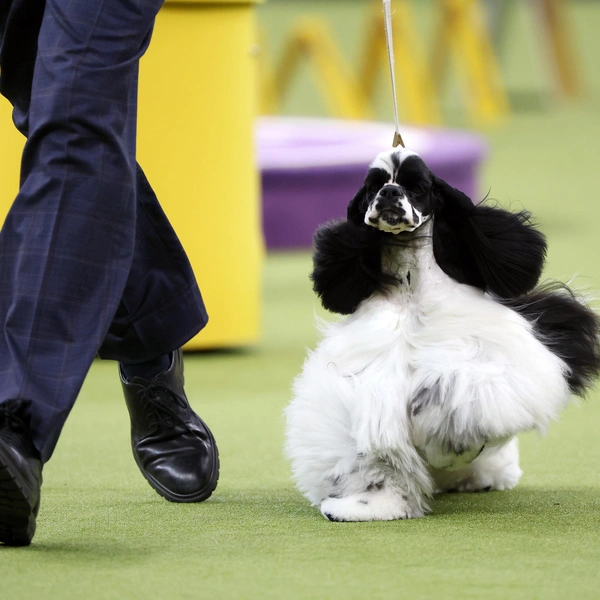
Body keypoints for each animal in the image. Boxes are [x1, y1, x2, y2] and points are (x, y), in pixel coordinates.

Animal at [286, 148, 600, 524]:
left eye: (417, 186)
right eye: (374, 185)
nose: (389, 193)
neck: (411, 290)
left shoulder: (473, 365)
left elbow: (445, 400)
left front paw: (446, 448)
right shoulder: (372, 385)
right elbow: (378, 453)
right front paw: (369, 506)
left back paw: (484, 476)